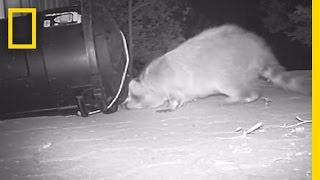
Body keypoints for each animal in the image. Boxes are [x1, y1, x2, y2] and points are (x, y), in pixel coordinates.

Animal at [122, 23, 310, 111]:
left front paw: (171, 105)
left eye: (133, 97)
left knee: (246, 91)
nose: (124, 105)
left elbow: (176, 97)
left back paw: (241, 97)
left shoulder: (174, 84)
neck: (151, 81)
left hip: (226, 72)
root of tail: (258, 49)